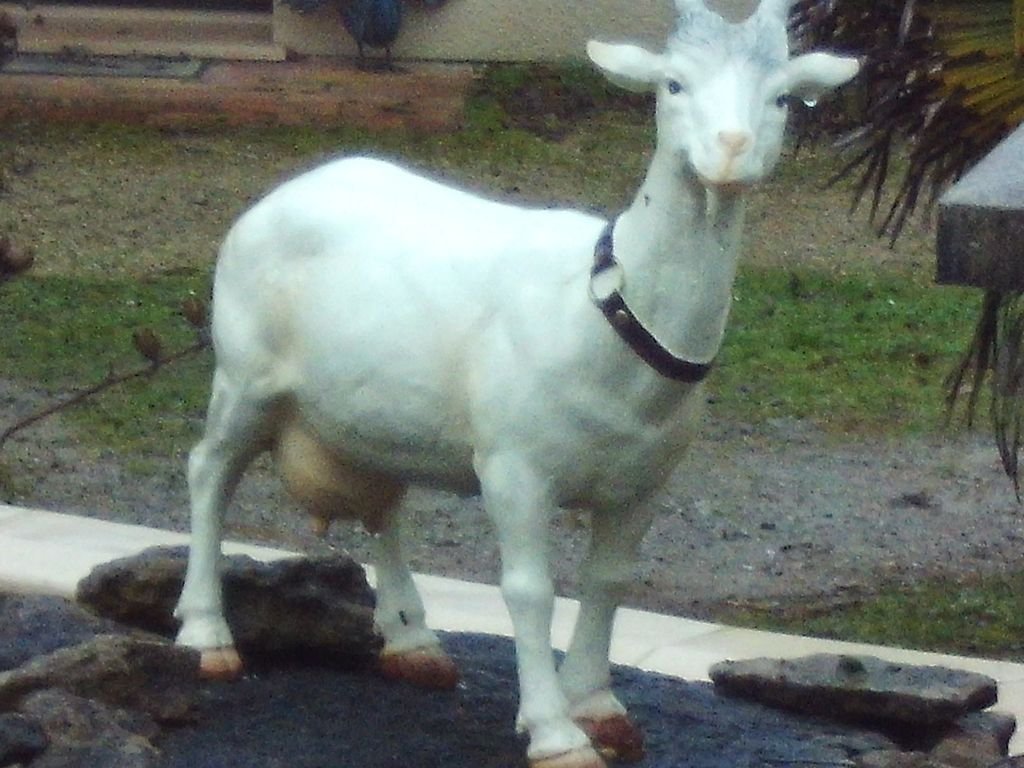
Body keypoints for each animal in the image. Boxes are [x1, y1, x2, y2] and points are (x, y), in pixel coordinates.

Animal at [173, 1, 859, 766]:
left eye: (782, 97)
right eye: (673, 84)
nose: (732, 151)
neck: (602, 309)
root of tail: (285, 193)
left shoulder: (644, 482)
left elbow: (608, 582)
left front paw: (599, 707)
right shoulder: (515, 467)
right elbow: (530, 591)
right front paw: (557, 732)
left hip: (377, 410)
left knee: (385, 505)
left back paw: (413, 643)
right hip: (245, 374)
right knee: (209, 471)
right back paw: (205, 635)